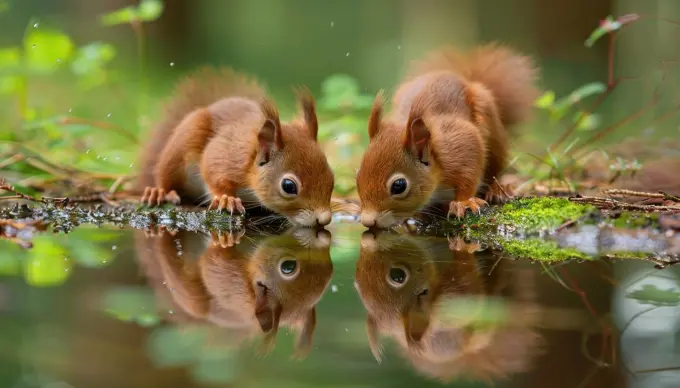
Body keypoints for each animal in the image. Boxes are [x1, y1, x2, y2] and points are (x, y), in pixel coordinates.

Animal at [137, 65, 334, 226]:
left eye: (332, 177)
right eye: (289, 186)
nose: (324, 219)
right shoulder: (229, 156)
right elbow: (212, 171)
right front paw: (226, 199)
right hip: (181, 147)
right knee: (166, 174)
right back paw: (158, 192)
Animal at [356, 230, 540, 382]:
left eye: (356, 284)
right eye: (397, 276)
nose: (368, 237)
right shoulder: (452, 303)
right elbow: (469, 283)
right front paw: (463, 248)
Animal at [358, 44, 540, 229]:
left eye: (399, 186)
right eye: (358, 174)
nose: (367, 221)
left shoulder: (462, 143)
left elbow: (469, 175)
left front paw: (464, 202)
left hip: (493, 135)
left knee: (495, 170)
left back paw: (497, 190)